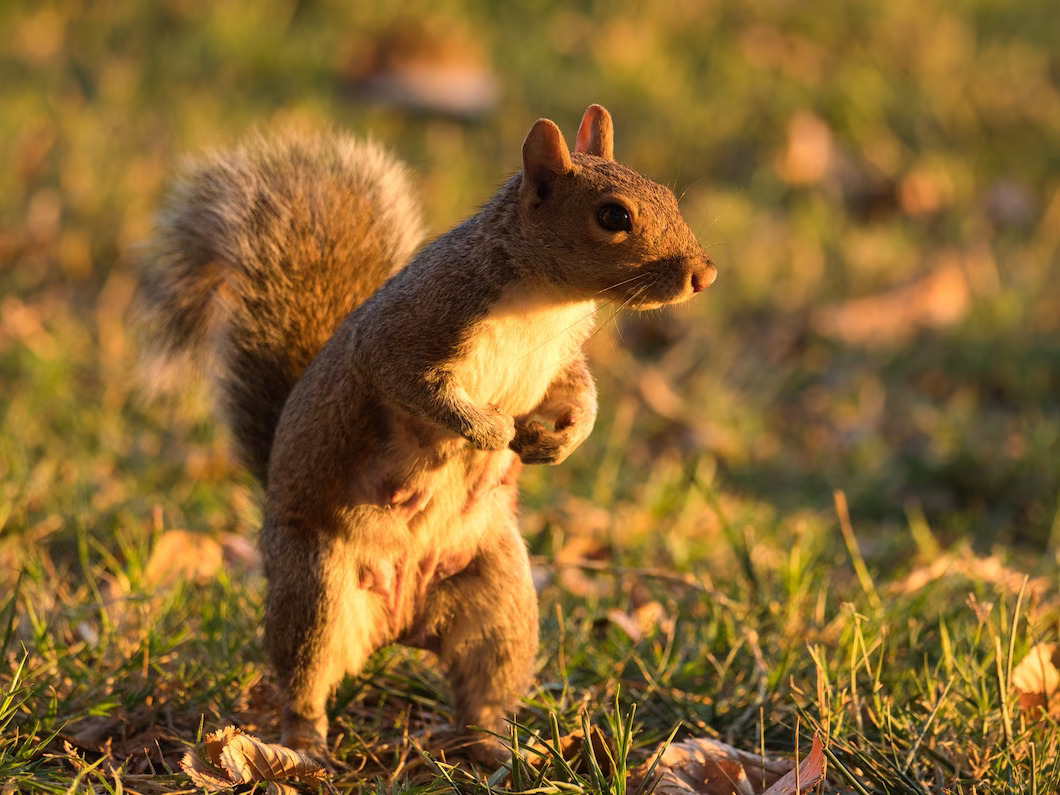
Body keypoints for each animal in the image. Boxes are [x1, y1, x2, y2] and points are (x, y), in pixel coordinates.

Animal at [130, 105, 712, 767]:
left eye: (668, 193)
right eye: (613, 216)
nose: (705, 275)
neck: (546, 303)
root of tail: (401, 622)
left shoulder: (559, 359)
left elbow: (580, 395)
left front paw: (559, 441)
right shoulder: (407, 336)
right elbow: (419, 390)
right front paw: (492, 430)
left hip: (500, 600)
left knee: (483, 685)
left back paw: (496, 750)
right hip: (314, 588)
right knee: (306, 680)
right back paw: (306, 749)